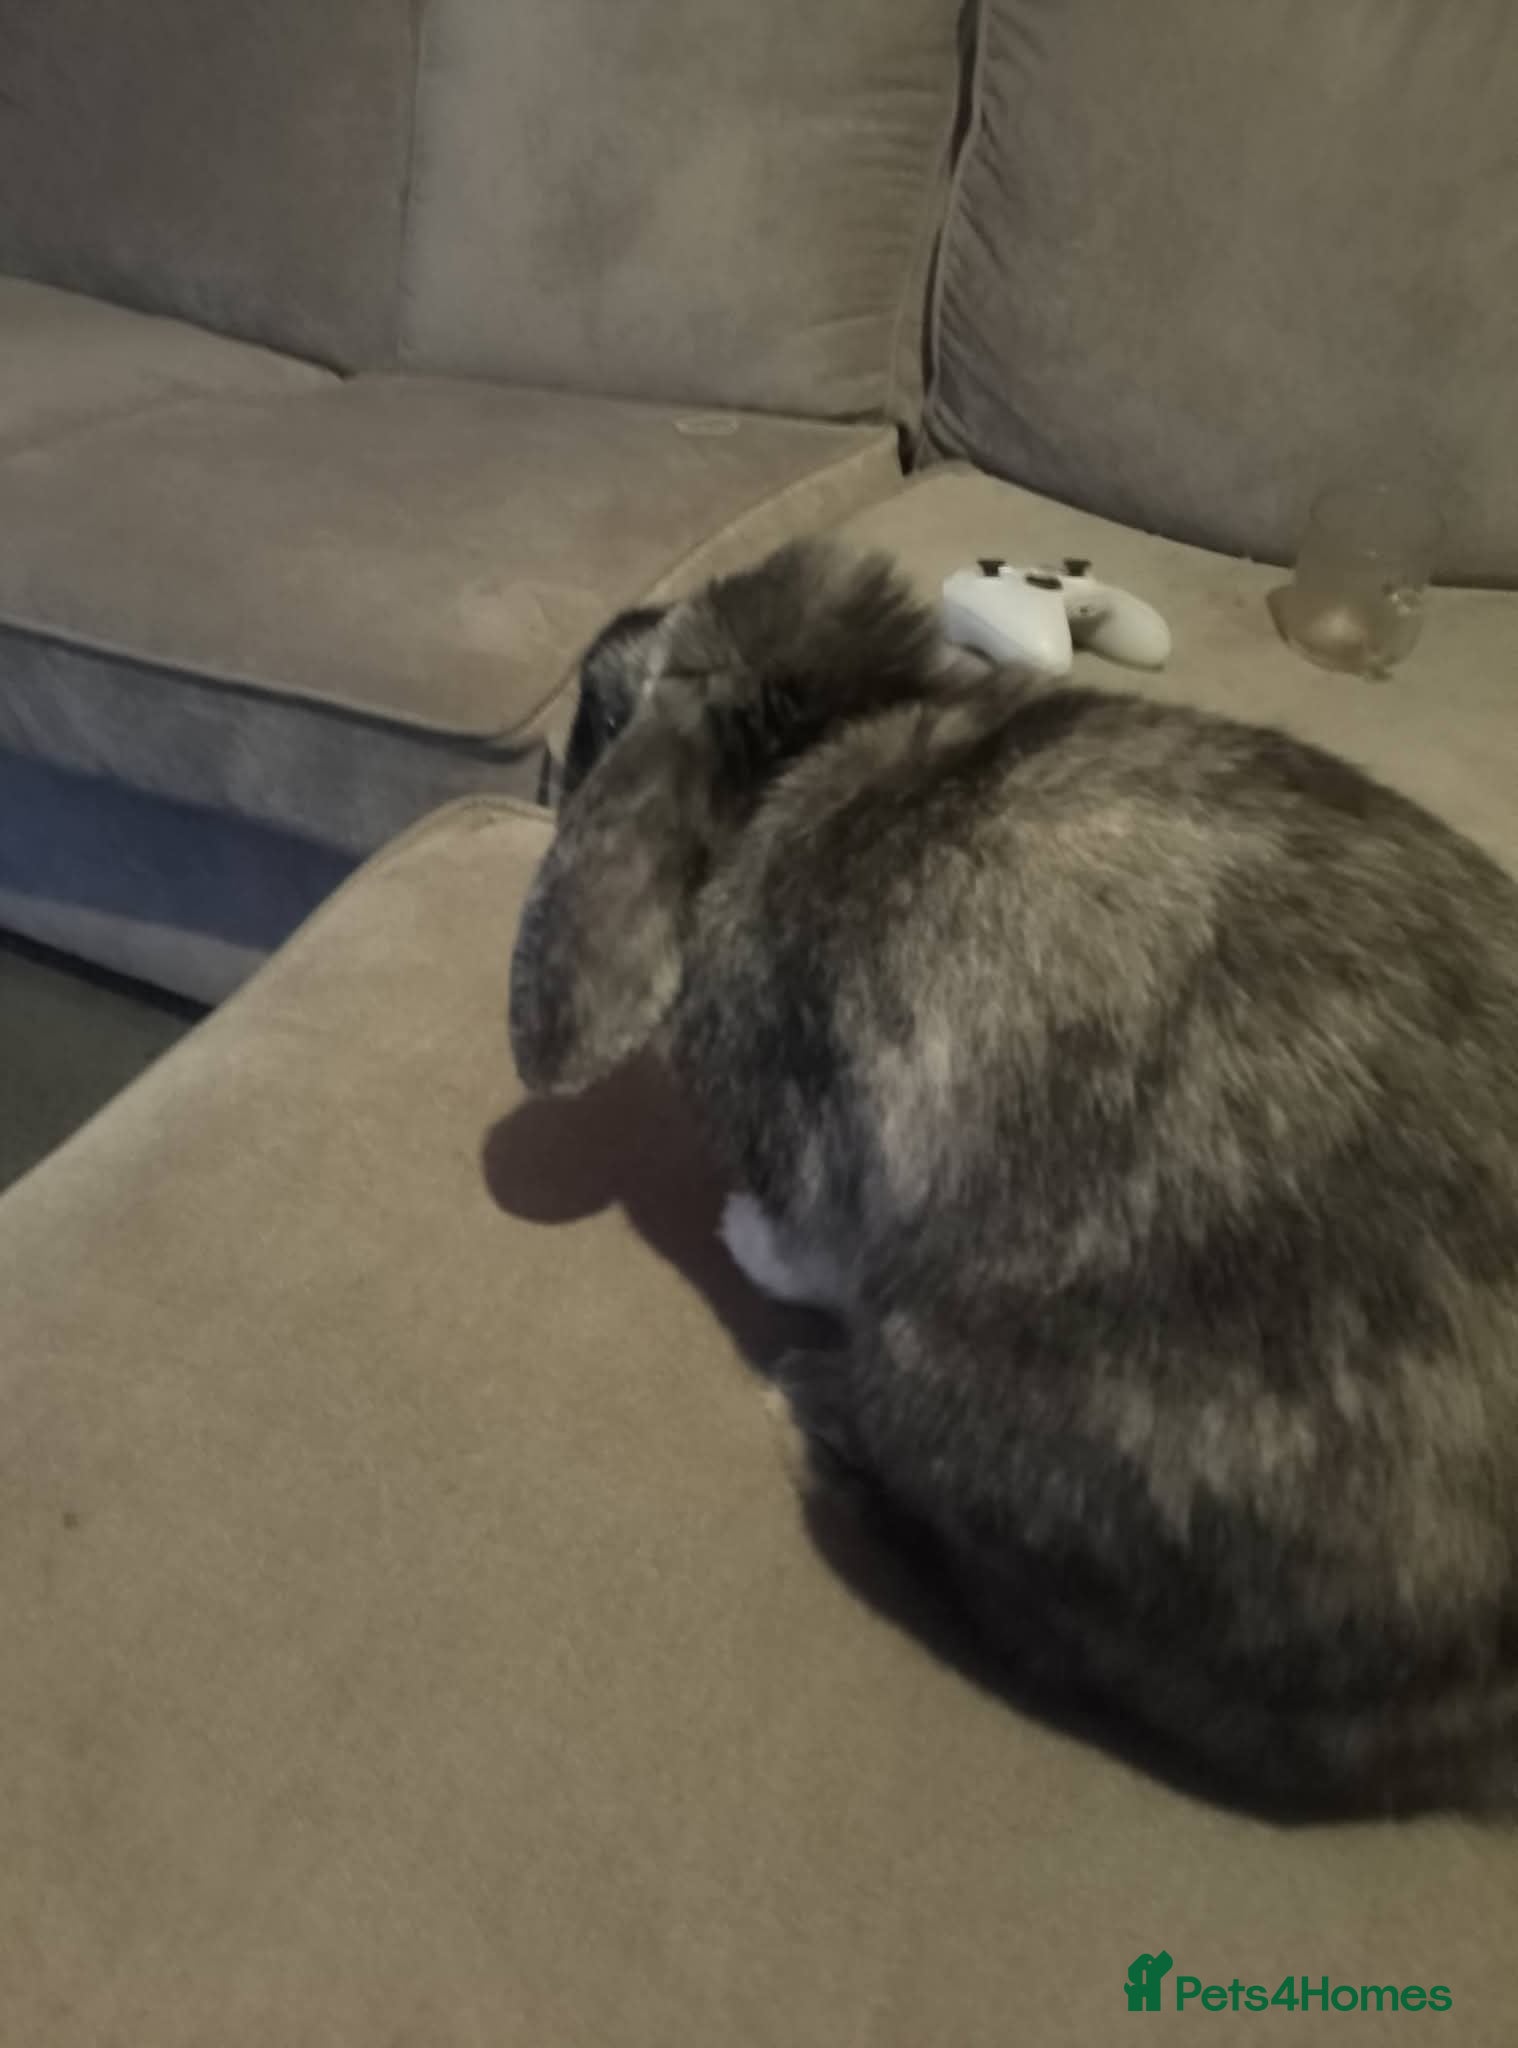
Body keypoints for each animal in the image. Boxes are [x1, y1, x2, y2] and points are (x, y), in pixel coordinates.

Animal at [510, 538, 1518, 1815]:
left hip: (939, 1378)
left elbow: (803, 1236)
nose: (551, 773)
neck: (817, 743)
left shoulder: (815, 1137)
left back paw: (813, 1411)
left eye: (600, 713)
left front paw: (743, 1238)